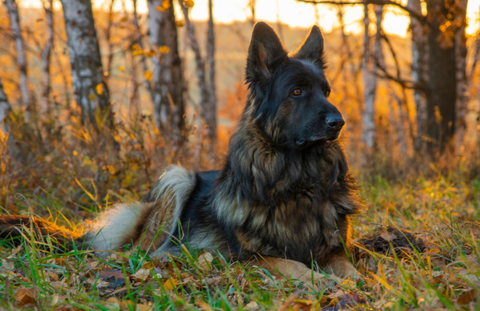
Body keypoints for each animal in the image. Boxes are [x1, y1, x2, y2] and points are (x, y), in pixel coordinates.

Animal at [0, 21, 362, 286]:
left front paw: (359, 283)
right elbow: (295, 266)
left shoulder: (334, 251)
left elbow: (354, 270)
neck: (296, 181)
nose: (339, 122)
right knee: (136, 251)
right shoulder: (252, 258)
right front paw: (323, 282)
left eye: (326, 92)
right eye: (297, 92)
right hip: (178, 179)